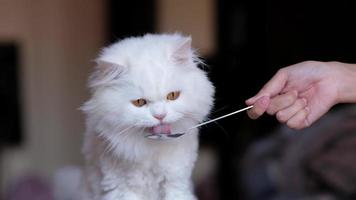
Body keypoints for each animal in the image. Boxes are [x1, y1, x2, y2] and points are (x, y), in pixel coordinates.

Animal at [80, 33, 214, 199]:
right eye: (139, 102)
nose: (160, 116)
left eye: (172, 96)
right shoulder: (121, 189)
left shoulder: (176, 183)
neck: (152, 151)